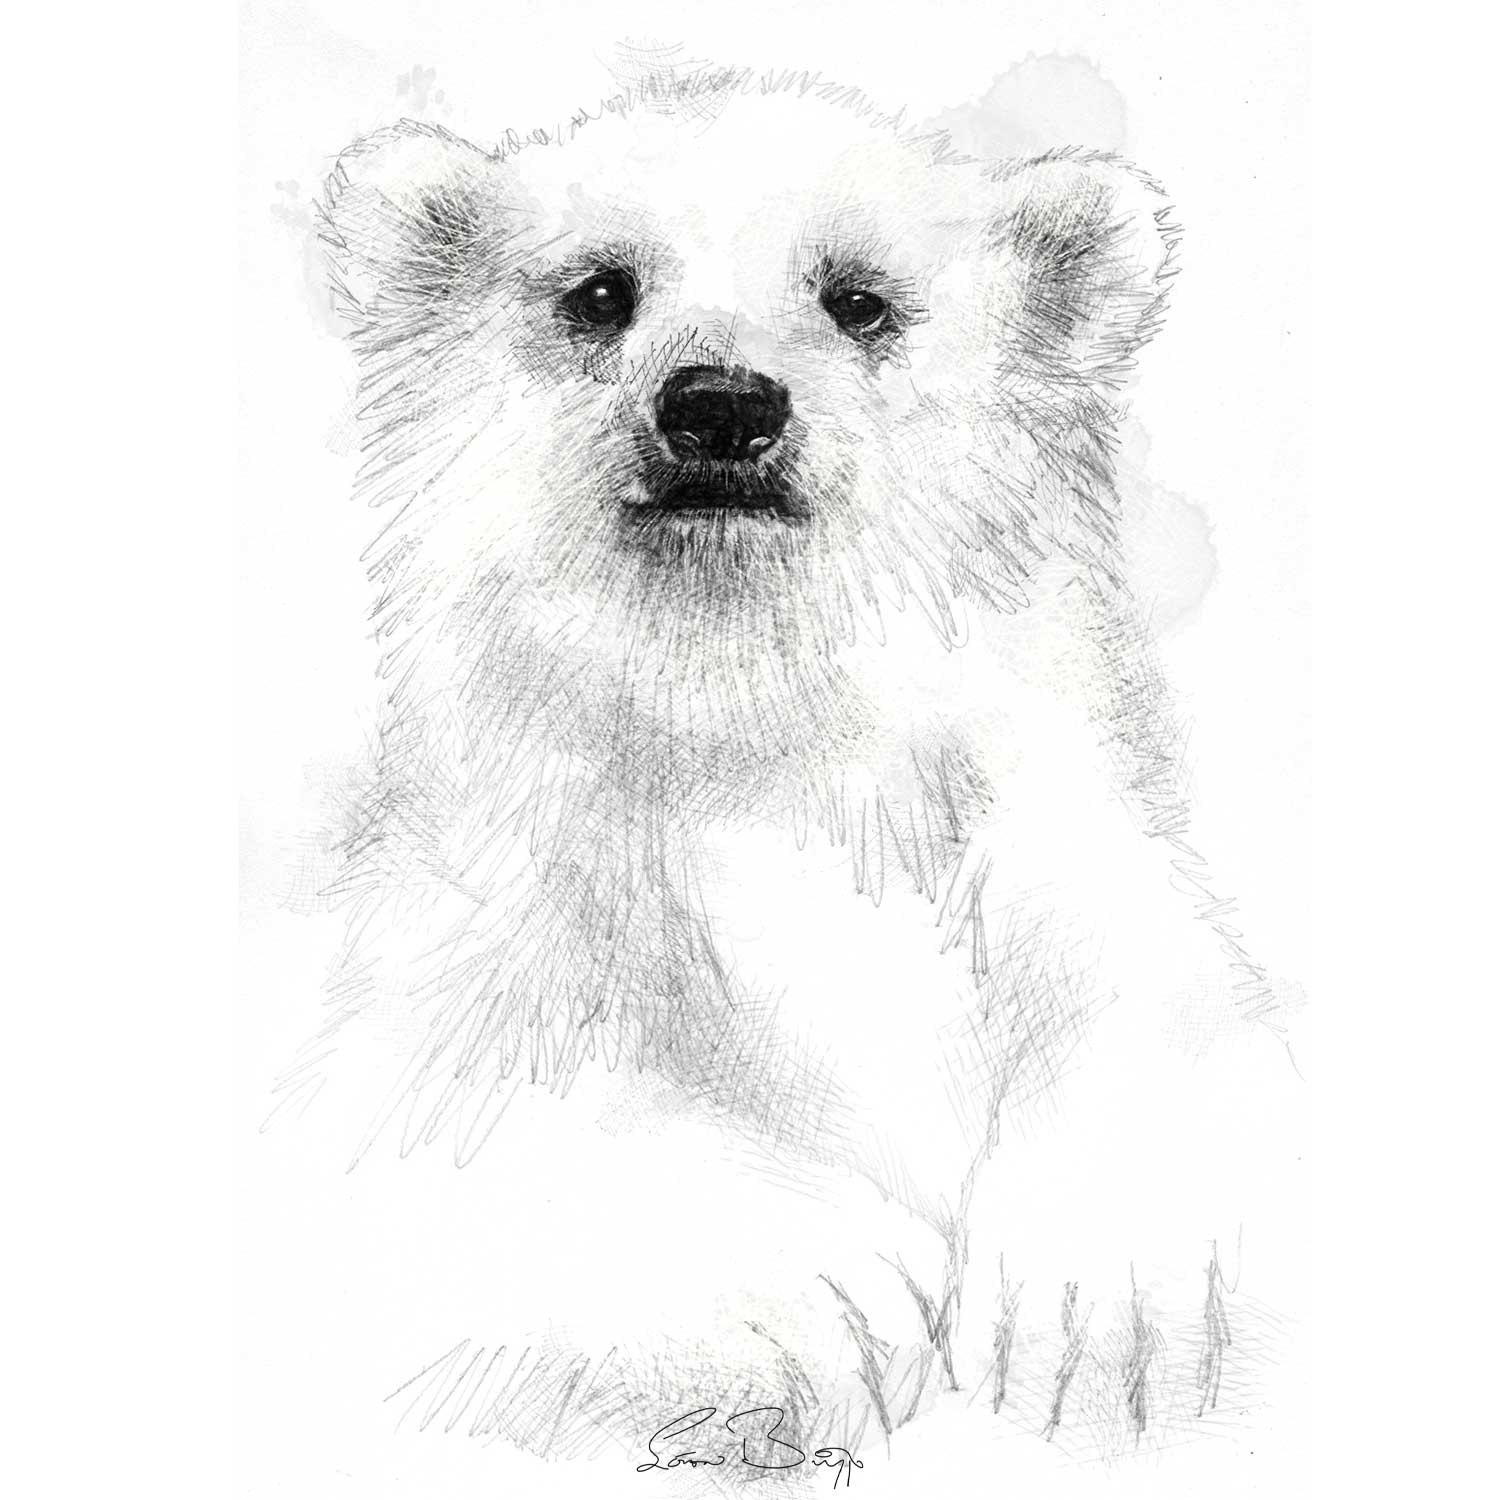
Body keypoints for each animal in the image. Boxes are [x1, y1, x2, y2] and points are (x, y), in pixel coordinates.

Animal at [282, 59, 1300, 1476]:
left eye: (859, 297)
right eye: (598, 289)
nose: (720, 404)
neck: (752, 718)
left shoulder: (1021, 847)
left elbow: (1158, 982)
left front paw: (1097, 1289)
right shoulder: (509, 909)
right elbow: (453, 1118)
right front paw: (830, 1290)